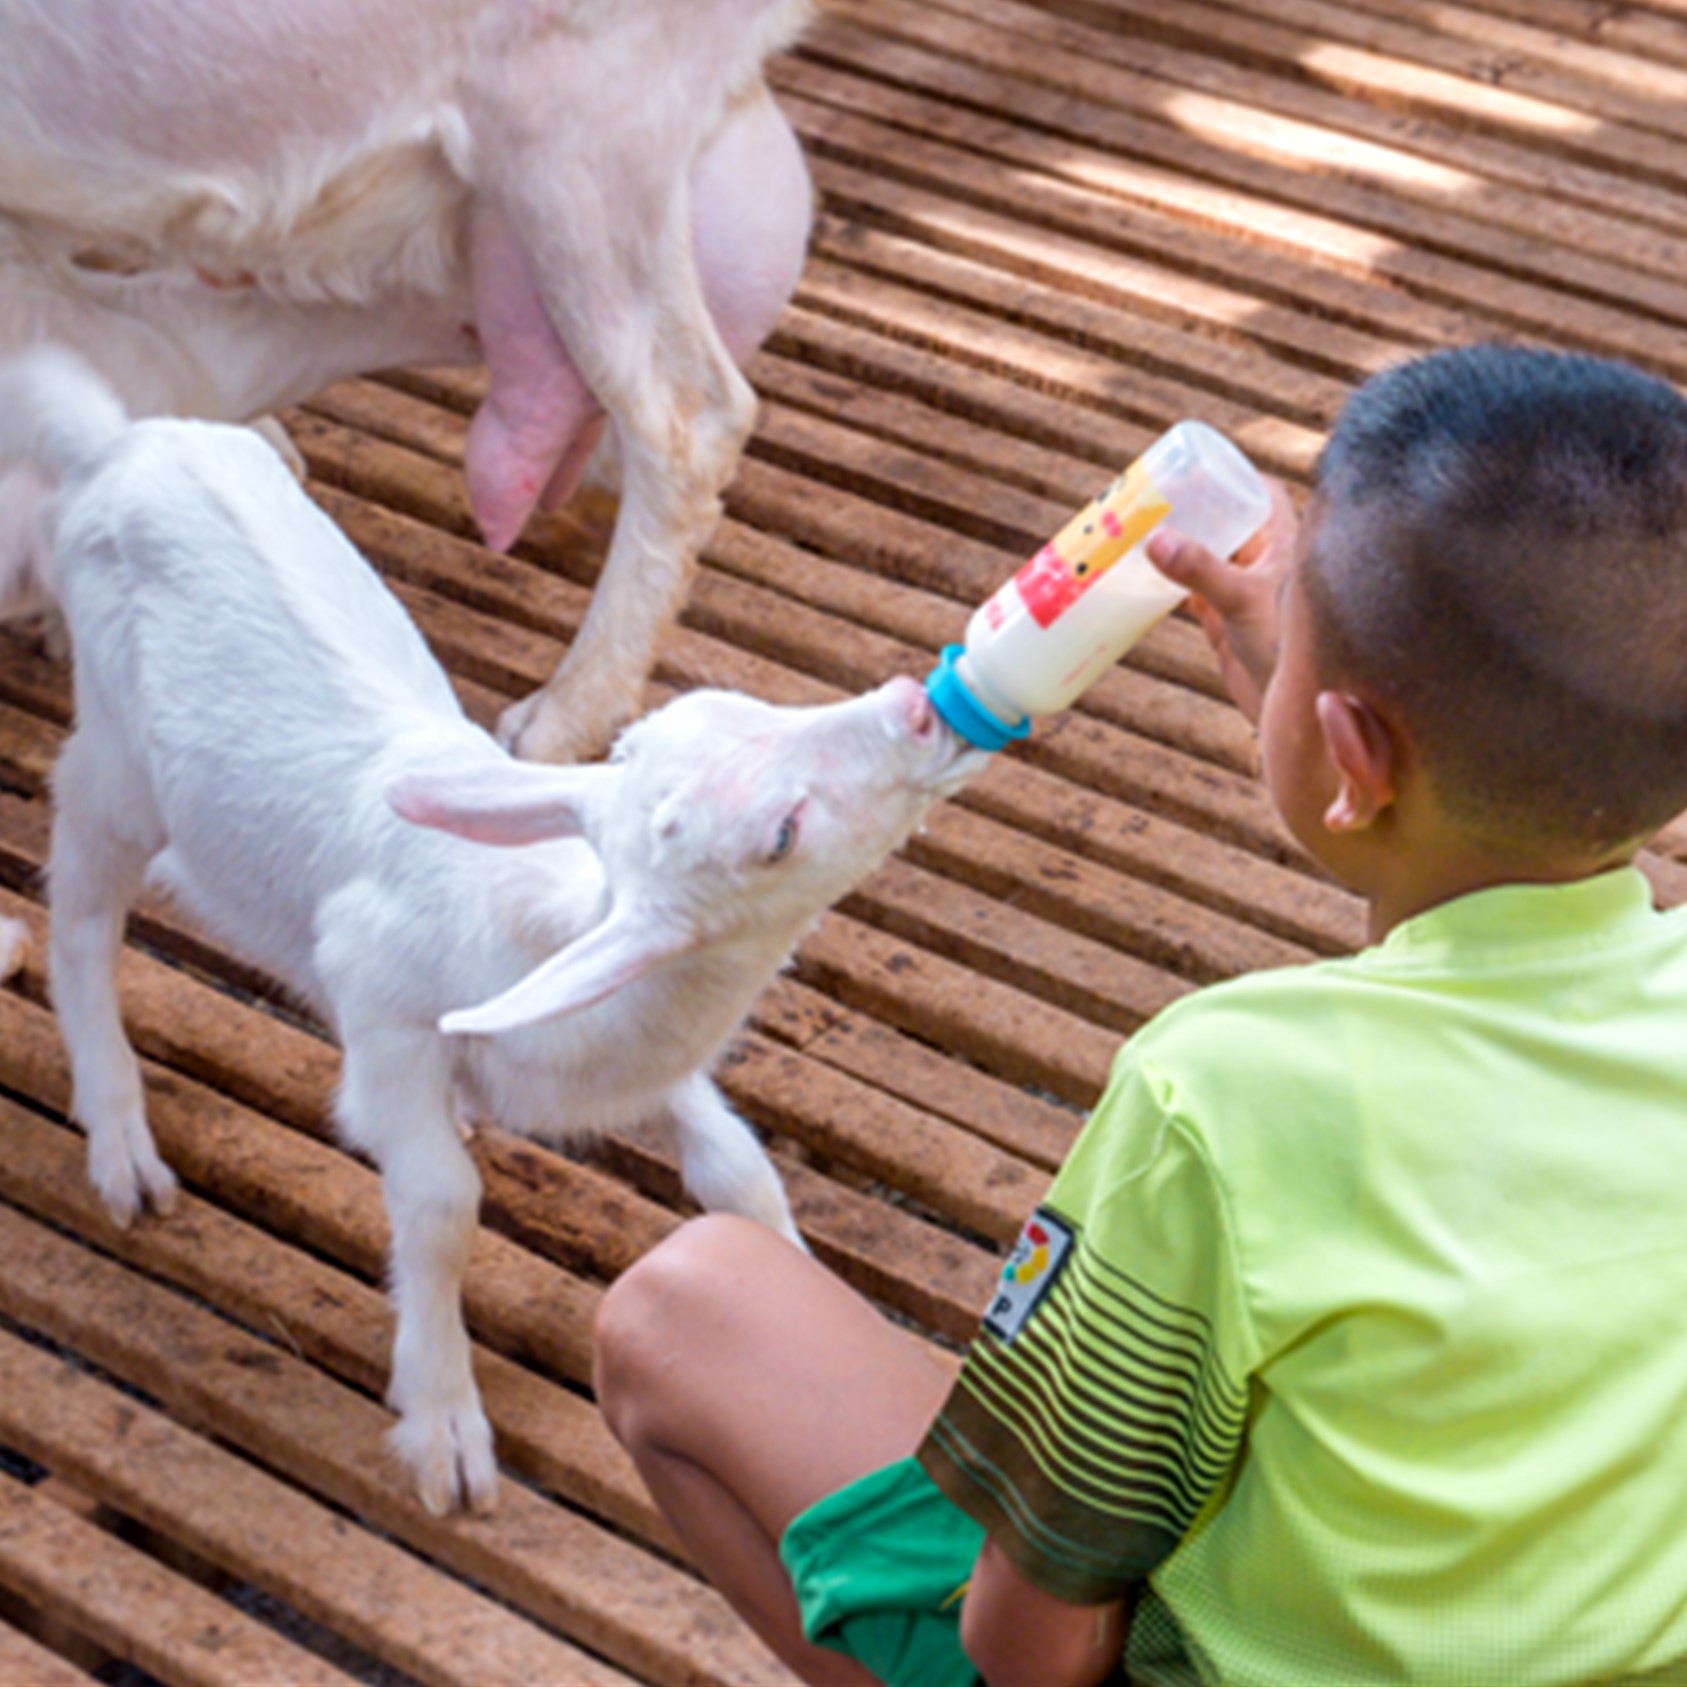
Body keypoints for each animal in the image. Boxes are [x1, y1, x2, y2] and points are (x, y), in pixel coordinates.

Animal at [0, 345, 985, 1518]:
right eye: (780, 834)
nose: (915, 708)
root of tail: (111, 442)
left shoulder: (628, 1058)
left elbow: (737, 1171)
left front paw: (799, 1283)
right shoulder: (381, 1009)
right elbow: (439, 1205)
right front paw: (444, 1428)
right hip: (116, 760)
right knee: (80, 914)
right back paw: (120, 1139)